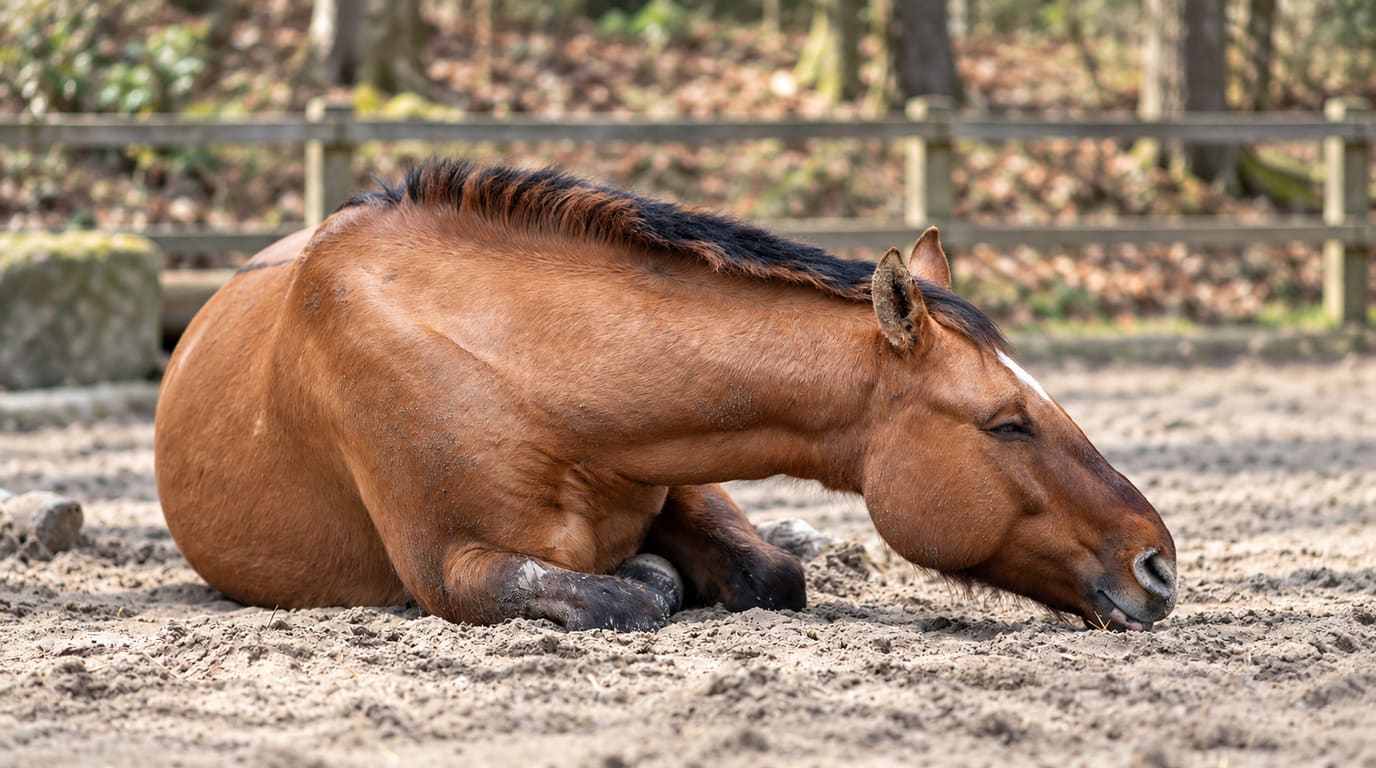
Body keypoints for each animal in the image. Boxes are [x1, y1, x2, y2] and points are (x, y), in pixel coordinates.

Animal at [154, 159, 1177, 632]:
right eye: (1006, 423)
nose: (1159, 564)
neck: (522, 370)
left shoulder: (684, 470)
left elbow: (771, 573)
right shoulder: (452, 569)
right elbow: (621, 596)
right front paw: (651, 578)